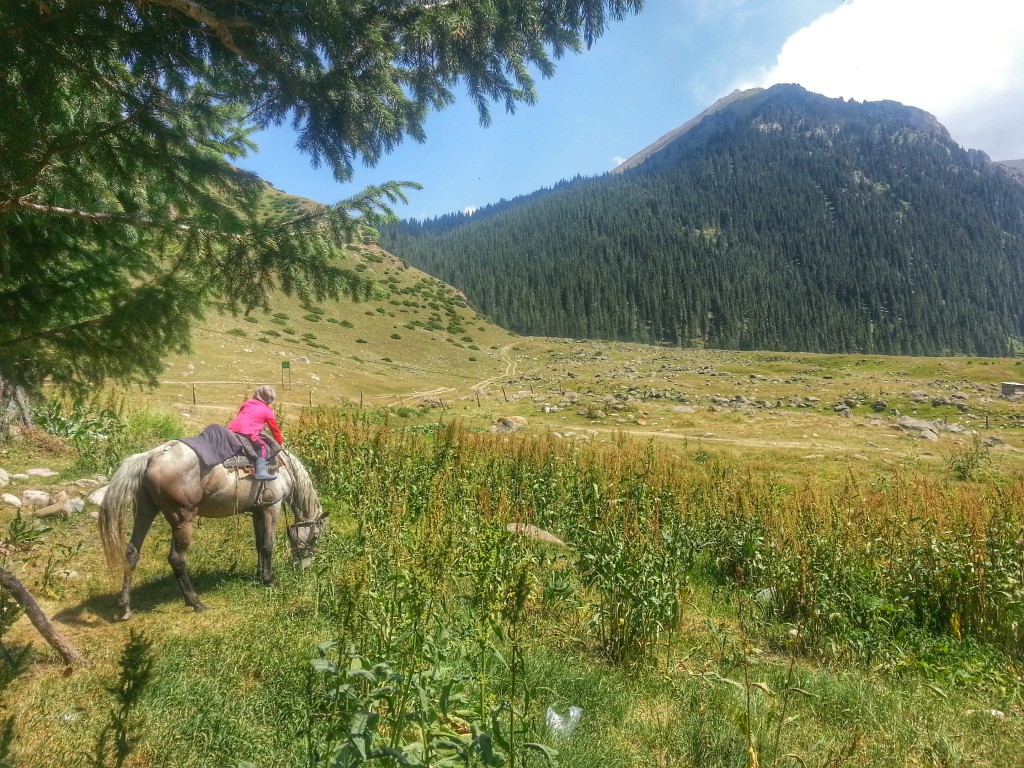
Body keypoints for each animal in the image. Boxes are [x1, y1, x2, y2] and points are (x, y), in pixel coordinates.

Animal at [97, 438, 325, 618]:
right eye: (315, 536)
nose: (304, 567)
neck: (286, 470)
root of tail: (153, 456)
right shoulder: (272, 508)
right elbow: (268, 545)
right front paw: (269, 580)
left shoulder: (258, 511)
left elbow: (259, 545)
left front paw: (260, 576)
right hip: (182, 518)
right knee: (177, 559)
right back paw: (195, 602)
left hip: (146, 510)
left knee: (132, 552)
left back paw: (124, 607)